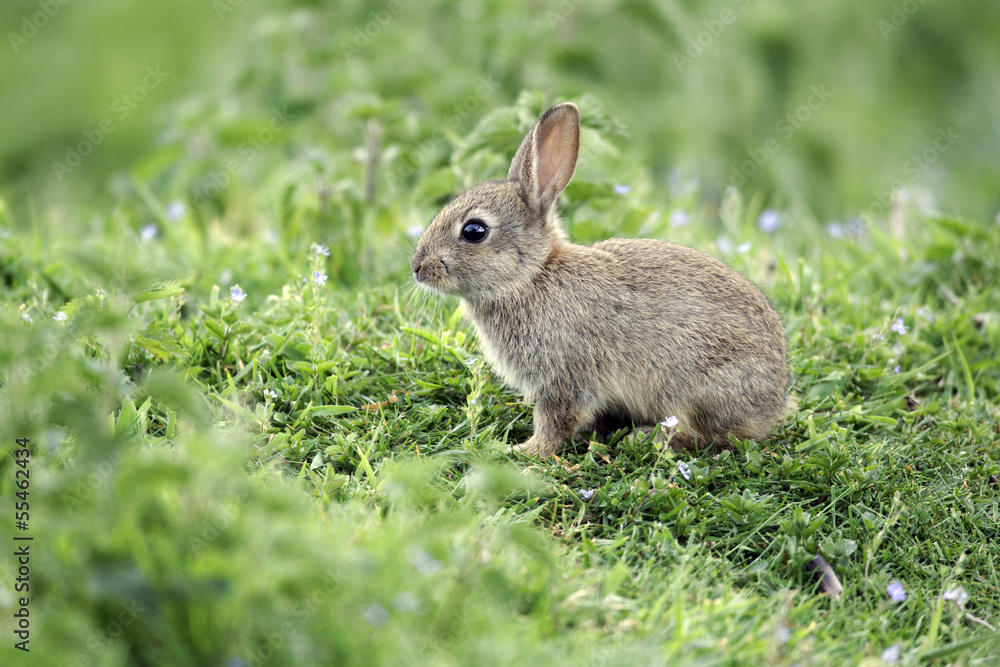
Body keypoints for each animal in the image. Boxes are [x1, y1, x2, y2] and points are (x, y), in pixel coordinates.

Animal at [411, 102, 793, 457]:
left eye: (474, 231)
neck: (531, 276)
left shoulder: (565, 376)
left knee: (718, 438)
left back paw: (650, 437)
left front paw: (524, 451)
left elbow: (557, 420)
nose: (418, 266)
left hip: (699, 390)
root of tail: (774, 402)